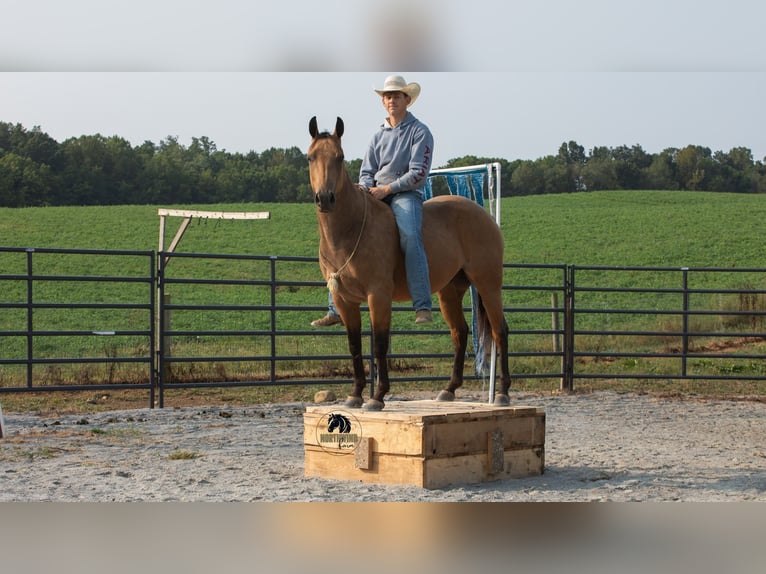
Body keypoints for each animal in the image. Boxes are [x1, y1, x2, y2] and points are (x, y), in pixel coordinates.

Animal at [308, 116, 511, 411]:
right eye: (310, 157)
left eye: (340, 156)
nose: (325, 198)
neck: (352, 228)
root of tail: (483, 215)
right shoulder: (345, 300)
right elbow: (355, 345)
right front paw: (355, 395)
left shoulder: (378, 295)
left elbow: (380, 343)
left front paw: (377, 397)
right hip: (450, 291)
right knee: (459, 332)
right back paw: (449, 389)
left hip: (488, 285)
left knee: (499, 331)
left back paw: (503, 393)